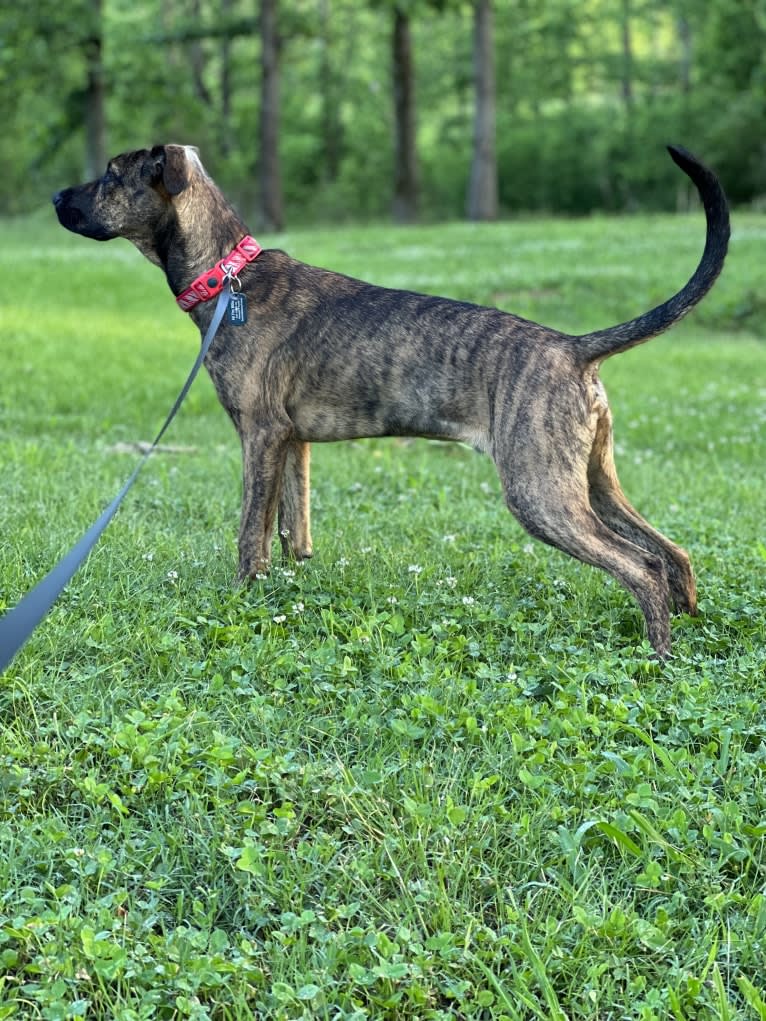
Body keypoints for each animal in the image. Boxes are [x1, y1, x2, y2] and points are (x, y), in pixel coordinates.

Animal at [54, 146, 731, 653]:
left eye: (111, 174)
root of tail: (572, 348)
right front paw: (287, 595)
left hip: (541, 493)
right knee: (673, 554)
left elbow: (250, 536)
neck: (229, 278)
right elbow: (293, 531)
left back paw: (656, 654)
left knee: (640, 566)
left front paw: (242, 599)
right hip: (591, 479)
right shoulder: (294, 445)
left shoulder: (260, 437)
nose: (58, 198)